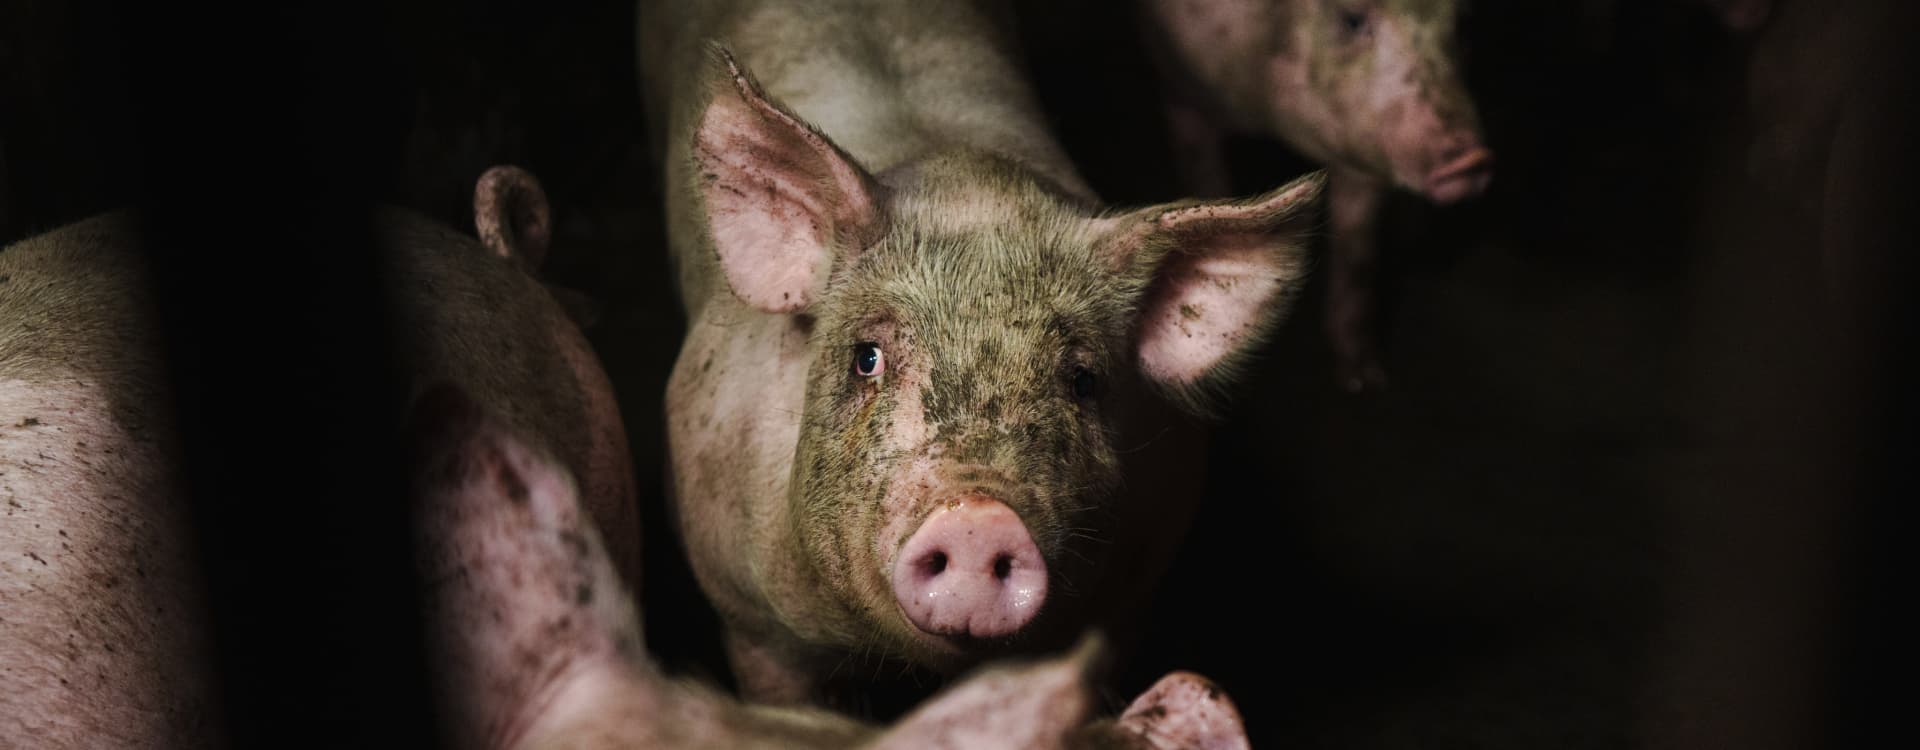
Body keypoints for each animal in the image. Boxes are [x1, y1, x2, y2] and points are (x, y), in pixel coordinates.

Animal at [1138, 0, 1494, 391]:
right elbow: (1205, 182)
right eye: (1352, 19)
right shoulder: (1181, 93)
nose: (1473, 160)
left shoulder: (1360, 156)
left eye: (1461, 25)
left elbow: (1357, 259)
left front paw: (1364, 381)